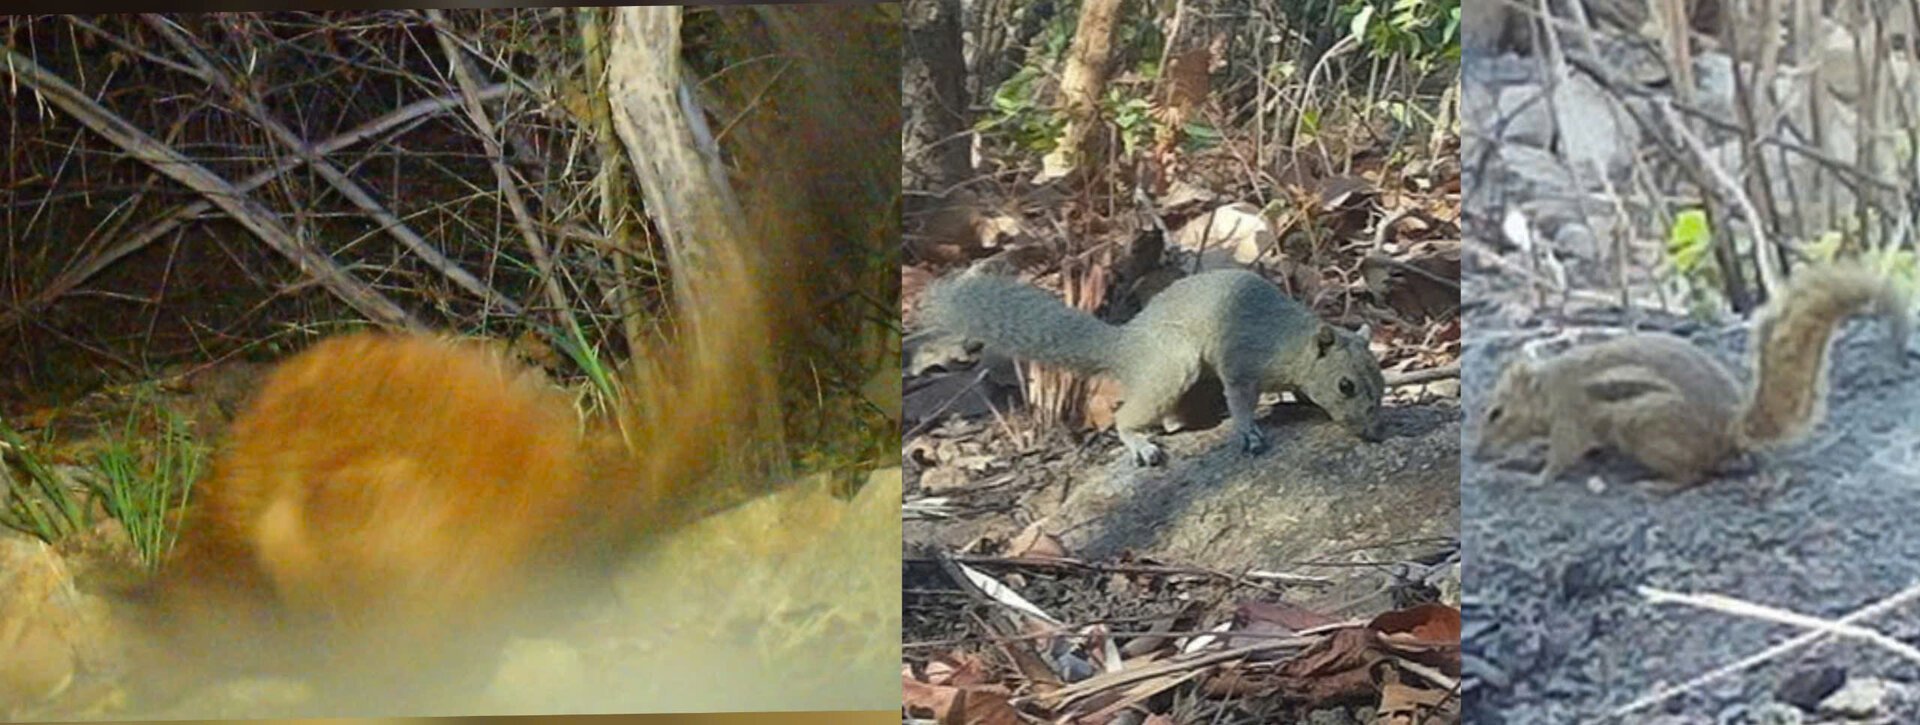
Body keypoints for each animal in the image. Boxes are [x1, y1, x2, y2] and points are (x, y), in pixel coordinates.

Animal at [1466, 260, 1904, 487]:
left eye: (1496, 413)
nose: (1476, 453)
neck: (1549, 388)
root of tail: (1731, 428)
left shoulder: (1570, 418)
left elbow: (1560, 459)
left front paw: (1528, 475)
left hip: (1645, 427)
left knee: (1695, 475)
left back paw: (1656, 485)